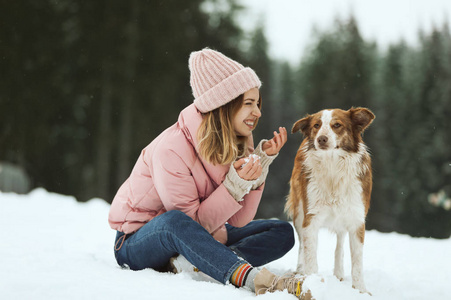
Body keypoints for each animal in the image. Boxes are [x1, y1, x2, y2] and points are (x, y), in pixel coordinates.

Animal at [288, 107, 376, 292]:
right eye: (316, 125)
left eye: (337, 125)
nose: (321, 139)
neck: (333, 166)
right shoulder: (311, 218)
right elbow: (310, 256)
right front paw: (311, 282)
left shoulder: (356, 218)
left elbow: (357, 262)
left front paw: (361, 290)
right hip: (299, 212)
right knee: (302, 245)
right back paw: (300, 270)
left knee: (340, 241)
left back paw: (339, 273)